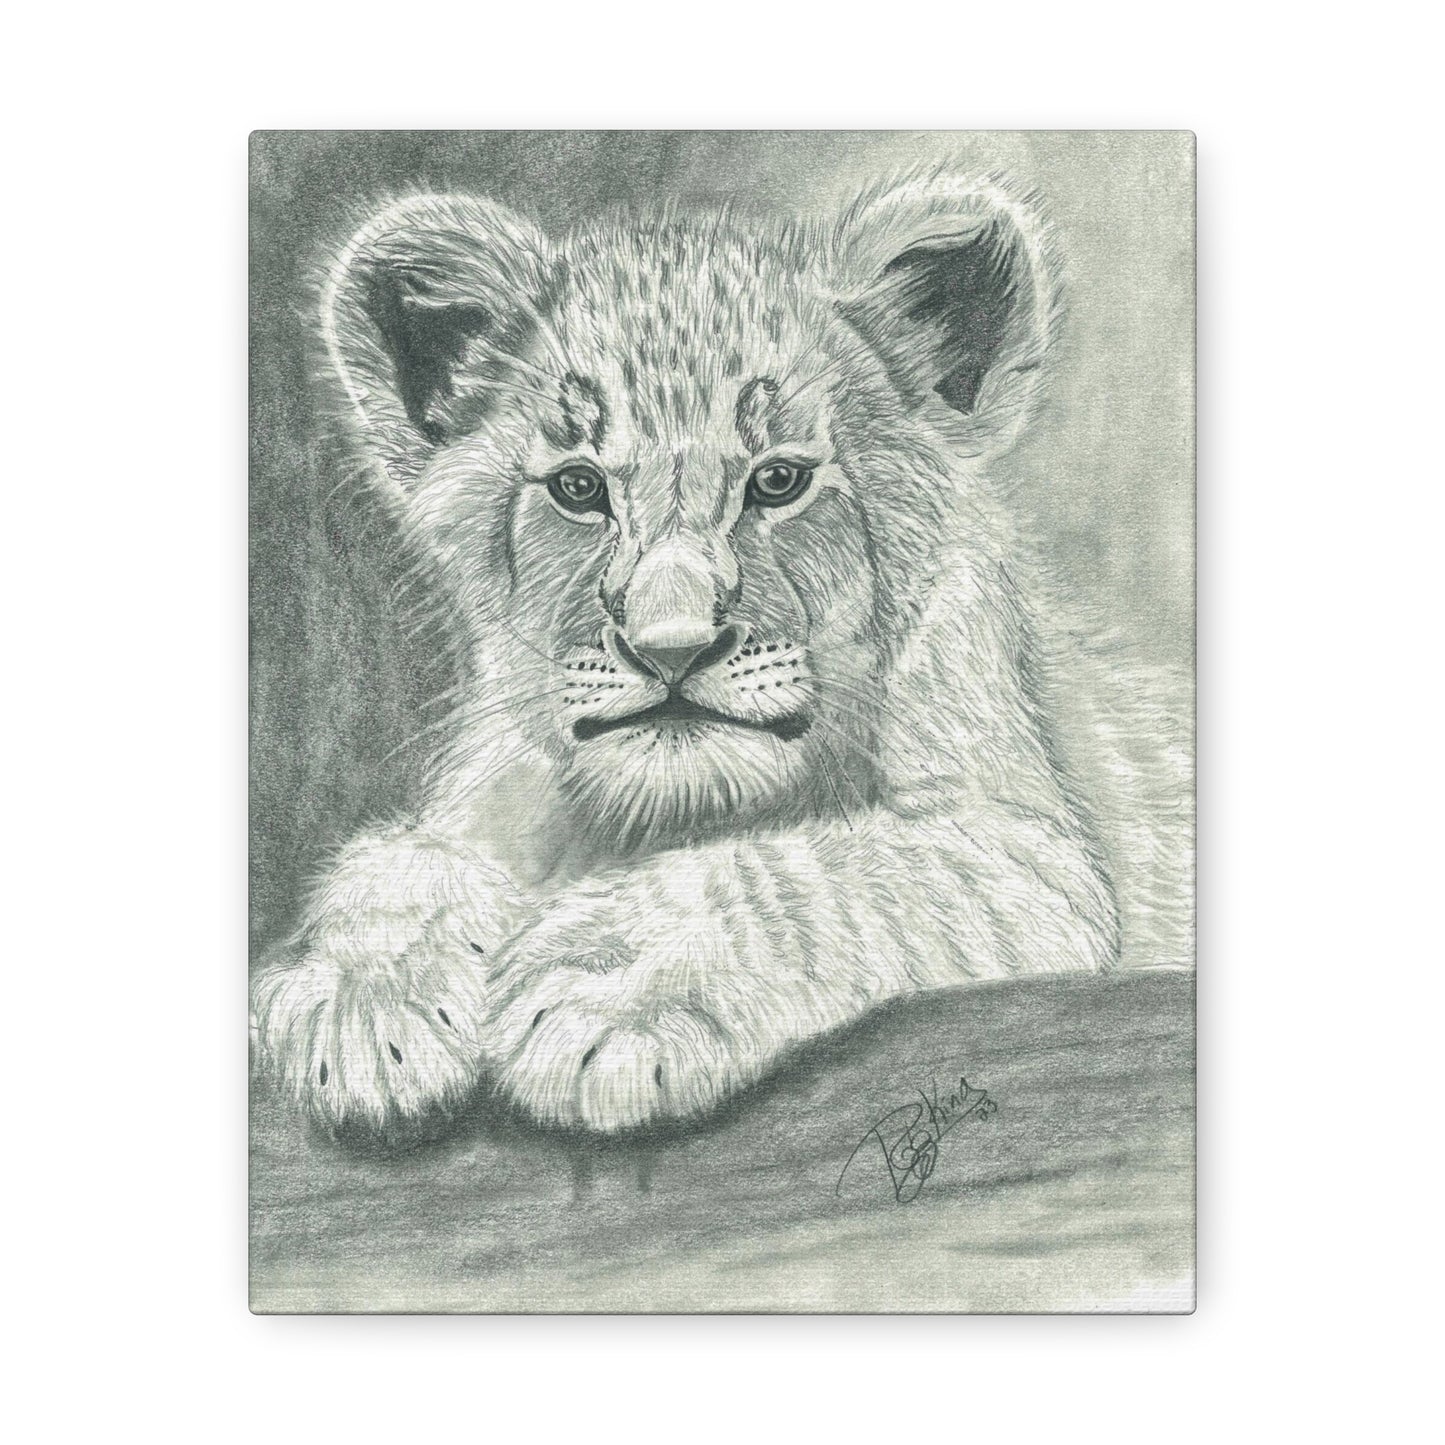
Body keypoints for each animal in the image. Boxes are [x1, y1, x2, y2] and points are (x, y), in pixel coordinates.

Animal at [251, 168, 1192, 1137]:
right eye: (578, 488)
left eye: (777, 480)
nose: (671, 649)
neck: (675, 813)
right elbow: (401, 865)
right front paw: (364, 998)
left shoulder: (1035, 866)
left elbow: (818, 872)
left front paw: (608, 980)